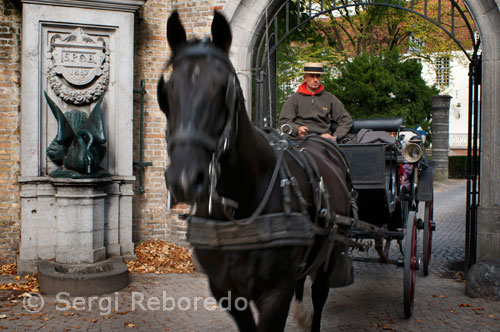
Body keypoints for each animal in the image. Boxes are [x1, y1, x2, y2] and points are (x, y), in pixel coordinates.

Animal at [158, 10, 350, 332]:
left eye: (224, 89)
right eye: (167, 92)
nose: (184, 179)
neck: (240, 206)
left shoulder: (275, 293)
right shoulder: (225, 291)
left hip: (331, 252)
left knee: (320, 294)